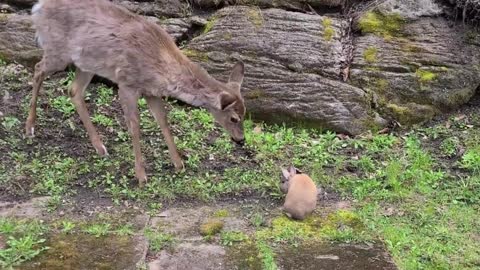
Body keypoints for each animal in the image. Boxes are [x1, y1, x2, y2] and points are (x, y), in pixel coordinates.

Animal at [24, 0, 246, 186]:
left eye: (245, 114)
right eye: (234, 118)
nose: (241, 139)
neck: (163, 65)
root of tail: (38, 7)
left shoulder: (152, 92)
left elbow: (163, 121)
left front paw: (179, 164)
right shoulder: (127, 83)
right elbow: (134, 126)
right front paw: (141, 176)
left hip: (87, 64)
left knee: (74, 90)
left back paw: (100, 147)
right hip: (58, 52)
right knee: (37, 69)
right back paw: (30, 128)